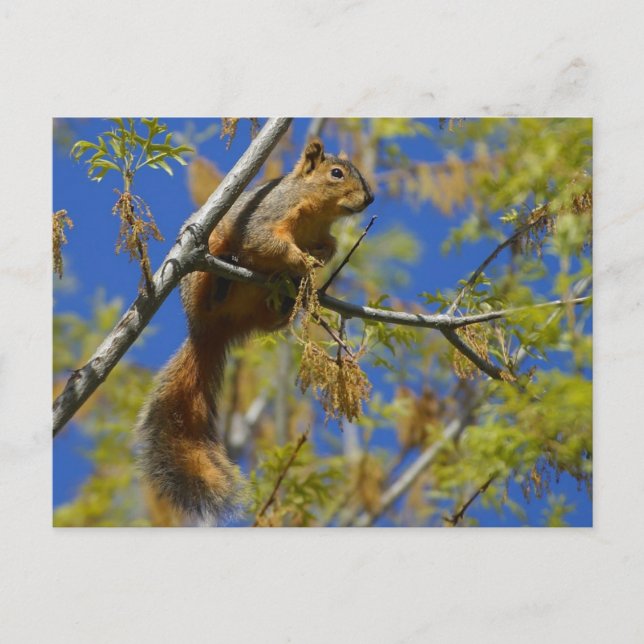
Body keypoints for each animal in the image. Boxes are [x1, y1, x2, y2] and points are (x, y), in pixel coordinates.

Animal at [135, 138, 374, 524]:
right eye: (336, 173)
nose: (369, 199)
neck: (317, 212)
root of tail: (208, 331)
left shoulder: (324, 235)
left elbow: (329, 248)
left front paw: (314, 263)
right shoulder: (266, 215)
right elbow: (265, 241)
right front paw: (300, 260)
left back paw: (282, 298)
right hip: (203, 264)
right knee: (215, 277)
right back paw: (223, 278)